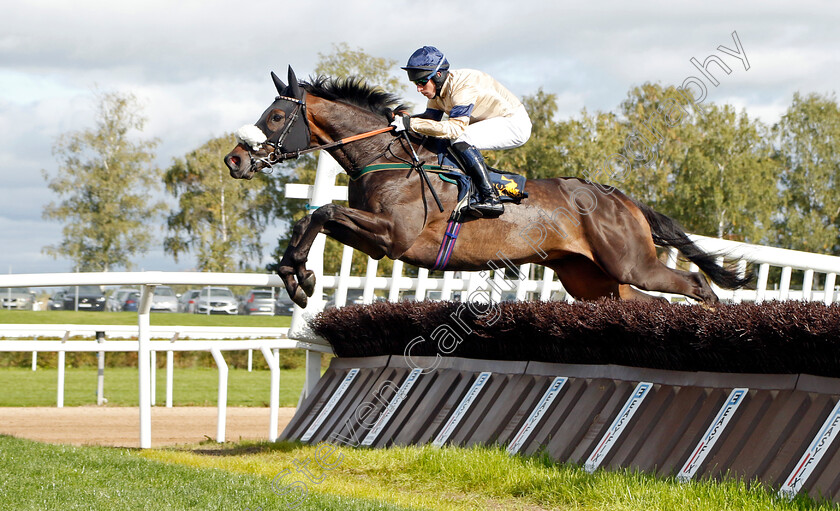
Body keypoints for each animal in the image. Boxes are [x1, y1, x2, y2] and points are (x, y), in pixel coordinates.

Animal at [221, 66, 748, 310]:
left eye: (275, 116)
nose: (235, 159)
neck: (387, 158)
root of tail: (622, 198)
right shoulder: (374, 240)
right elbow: (313, 218)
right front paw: (296, 276)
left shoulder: (393, 235)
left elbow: (321, 212)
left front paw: (301, 279)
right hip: (592, 278)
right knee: (649, 303)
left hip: (631, 262)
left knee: (696, 285)